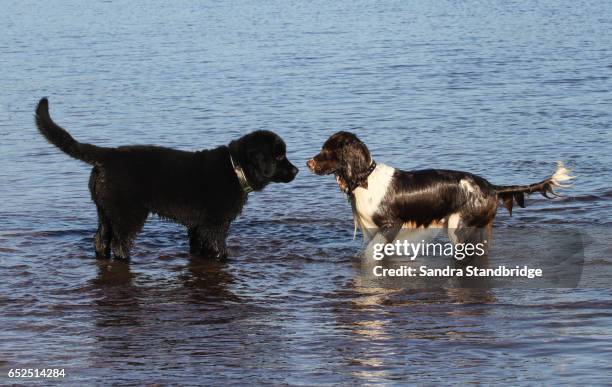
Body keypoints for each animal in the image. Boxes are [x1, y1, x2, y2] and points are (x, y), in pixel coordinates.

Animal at [35, 97, 298, 260]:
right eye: (279, 155)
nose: (296, 171)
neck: (236, 168)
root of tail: (108, 155)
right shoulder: (214, 224)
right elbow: (218, 247)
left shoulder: (197, 227)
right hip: (128, 213)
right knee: (119, 243)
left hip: (105, 211)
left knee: (100, 240)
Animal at [308, 132, 572, 250]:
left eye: (328, 150)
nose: (308, 163)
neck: (365, 178)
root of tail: (490, 186)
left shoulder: (391, 225)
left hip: (459, 227)